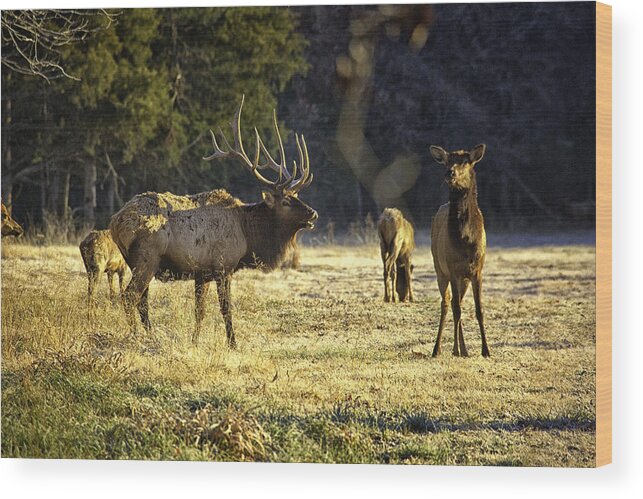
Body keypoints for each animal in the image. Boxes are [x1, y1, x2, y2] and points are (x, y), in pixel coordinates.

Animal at [112, 95, 320, 350]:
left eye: (297, 196)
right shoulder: (223, 266)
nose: (313, 213)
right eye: (286, 202)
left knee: (142, 302)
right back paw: (134, 336)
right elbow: (226, 309)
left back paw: (151, 337)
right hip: (147, 259)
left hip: (135, 262)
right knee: (130, 296)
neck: (247, 234)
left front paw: (194, 342)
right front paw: (233, 344)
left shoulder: (202, 273)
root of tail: (116, 223)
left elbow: (199, 311)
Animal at [430, 143, 490, 358]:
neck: (465, 240)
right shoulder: (453, 269)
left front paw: (485, 350)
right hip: (440, 269)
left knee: (460, 303)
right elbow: (456, 310)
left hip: (463, 278)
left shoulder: (477, 270)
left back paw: (464, 350)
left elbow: (479, 310)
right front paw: (455, 349)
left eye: (465, 161)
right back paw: (438, 349)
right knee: (447, 304)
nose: (450, 172)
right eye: (447, 161)